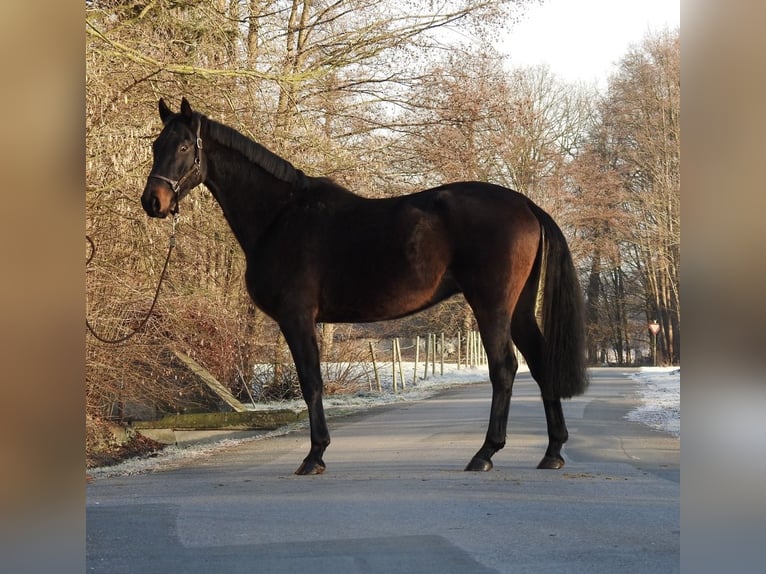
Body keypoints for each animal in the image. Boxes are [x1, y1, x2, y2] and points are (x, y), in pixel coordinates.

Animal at [142, 99, 588, 476]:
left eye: (184, 146)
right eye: (155, 145)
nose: (153, 201)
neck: (280, 216)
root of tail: (525, 204)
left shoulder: (296, 316)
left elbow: (311, 381)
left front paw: (315, 455)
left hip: (492, 306)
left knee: (505, 369)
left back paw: (485, 453)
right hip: (519, 309)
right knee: (540, 364)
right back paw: (552, 451)